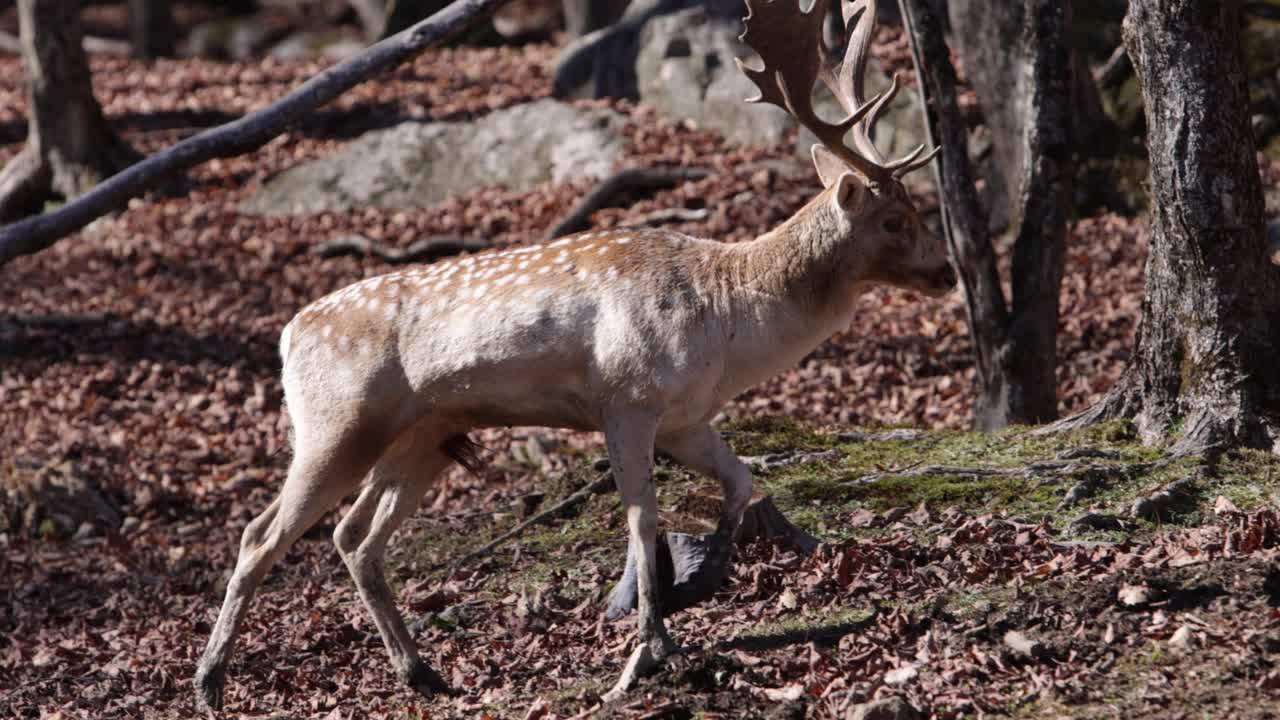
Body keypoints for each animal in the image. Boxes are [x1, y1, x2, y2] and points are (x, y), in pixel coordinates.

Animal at [193, 0, 954, 710]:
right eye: (895, 219)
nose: (947, 272)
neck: (730, 323)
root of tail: (288, 335)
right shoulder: (627, 398)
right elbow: (642, 521)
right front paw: (648, 649)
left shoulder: (687, 417)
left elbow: (742, 482)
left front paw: (702, 580)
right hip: (335, 422)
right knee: (260, 534)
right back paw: (210, 682)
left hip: (423, 434)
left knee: (354, 537)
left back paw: (423, 674)